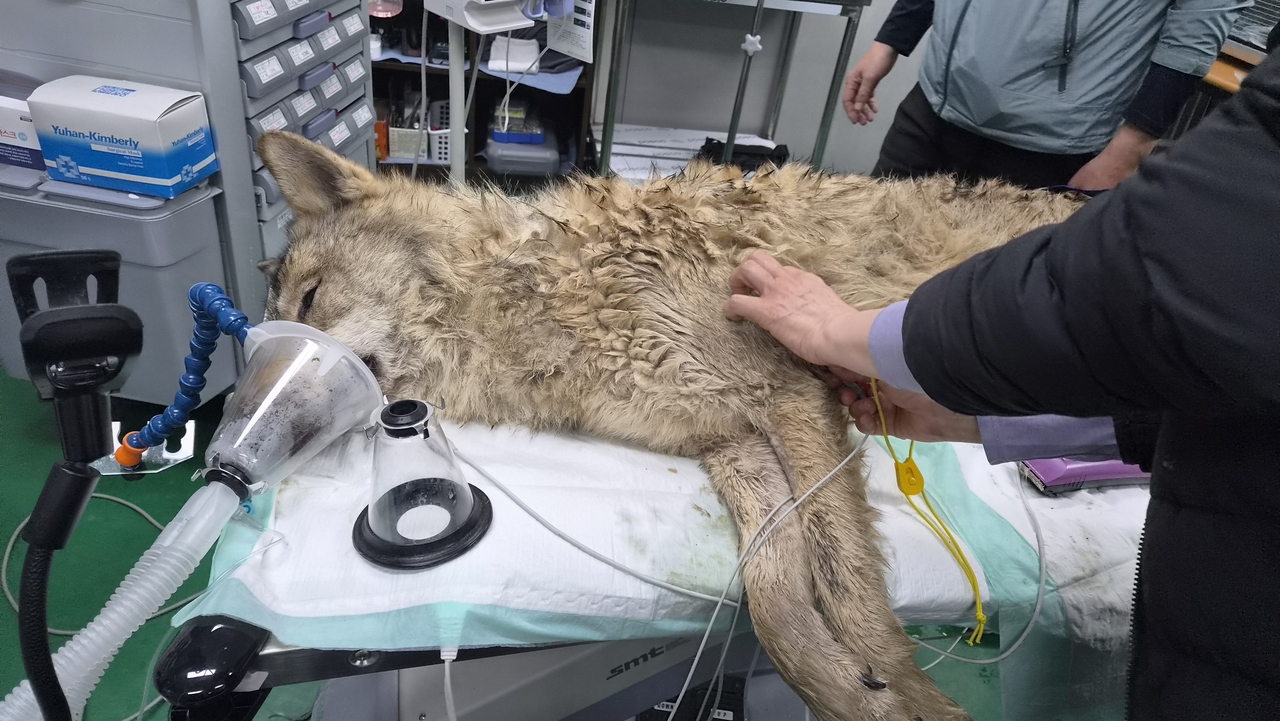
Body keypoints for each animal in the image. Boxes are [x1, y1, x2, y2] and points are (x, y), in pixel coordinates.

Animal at [255, 131, 1083, 720]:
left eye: (312, 299)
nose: (248, 435)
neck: (534, 296)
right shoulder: (733, 442)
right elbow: (777, 601)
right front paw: (856, 692)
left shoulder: (789, 394)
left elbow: (847, 587)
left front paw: (911, 696)